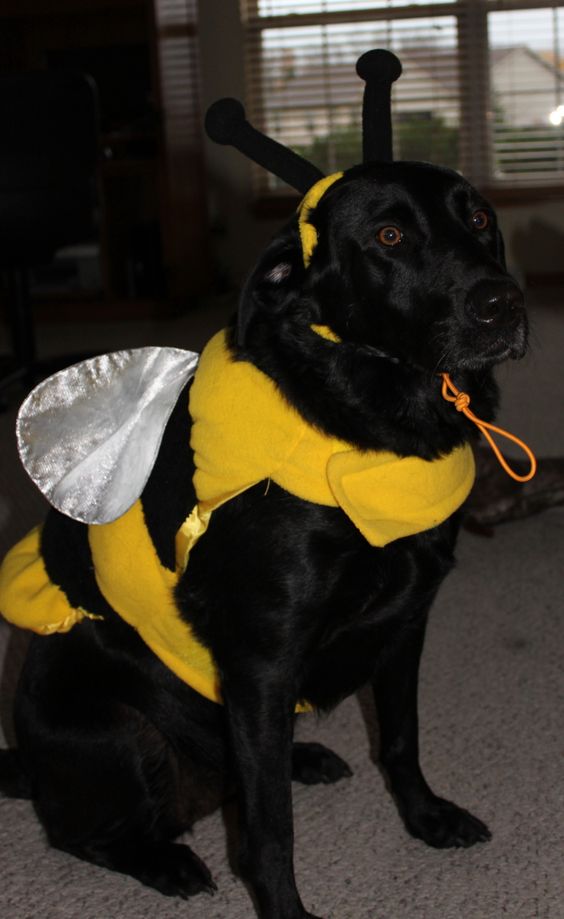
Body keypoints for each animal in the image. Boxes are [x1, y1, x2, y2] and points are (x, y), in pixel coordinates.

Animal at [2, 162, 528, 916]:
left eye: (480, 219)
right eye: (389, 236)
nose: (502, 303)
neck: (378, 407)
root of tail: (28, 766)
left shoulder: (405, 624)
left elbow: (400, 740)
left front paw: (426, 818)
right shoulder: (264, 661)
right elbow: (270, 829)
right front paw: (285, 909)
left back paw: (302, 757)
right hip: (115, 732)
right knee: (84, 835)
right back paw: (166, 861)